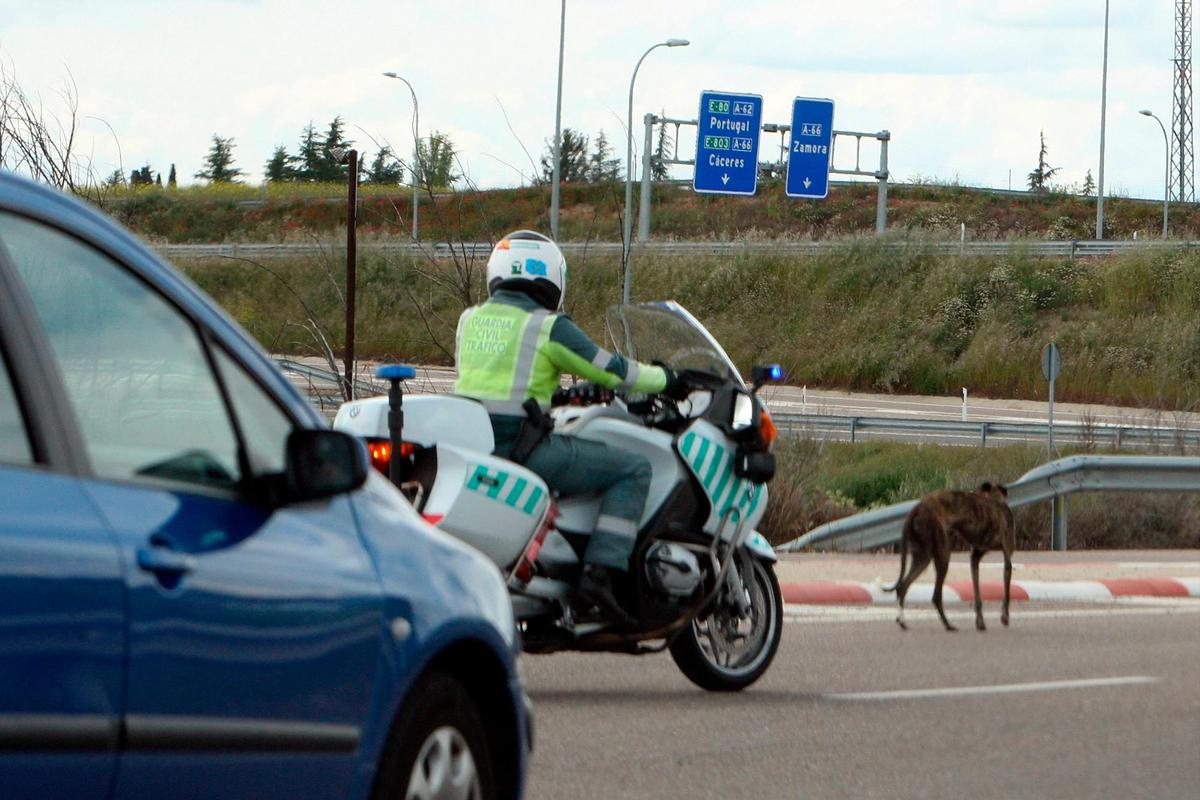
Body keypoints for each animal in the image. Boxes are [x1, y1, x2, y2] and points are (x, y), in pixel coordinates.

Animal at [883, 482, 1012, 633]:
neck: (994, 499)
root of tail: (918, 507)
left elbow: (977, 592)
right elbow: (1006, 592)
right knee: (935, 596)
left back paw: (902, 621)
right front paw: (1004, 617)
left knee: (903, 587)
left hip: (922, 557)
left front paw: (980, 622)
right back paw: (948, 624)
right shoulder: (1006, 558)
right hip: (943, 556)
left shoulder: (975, 558)